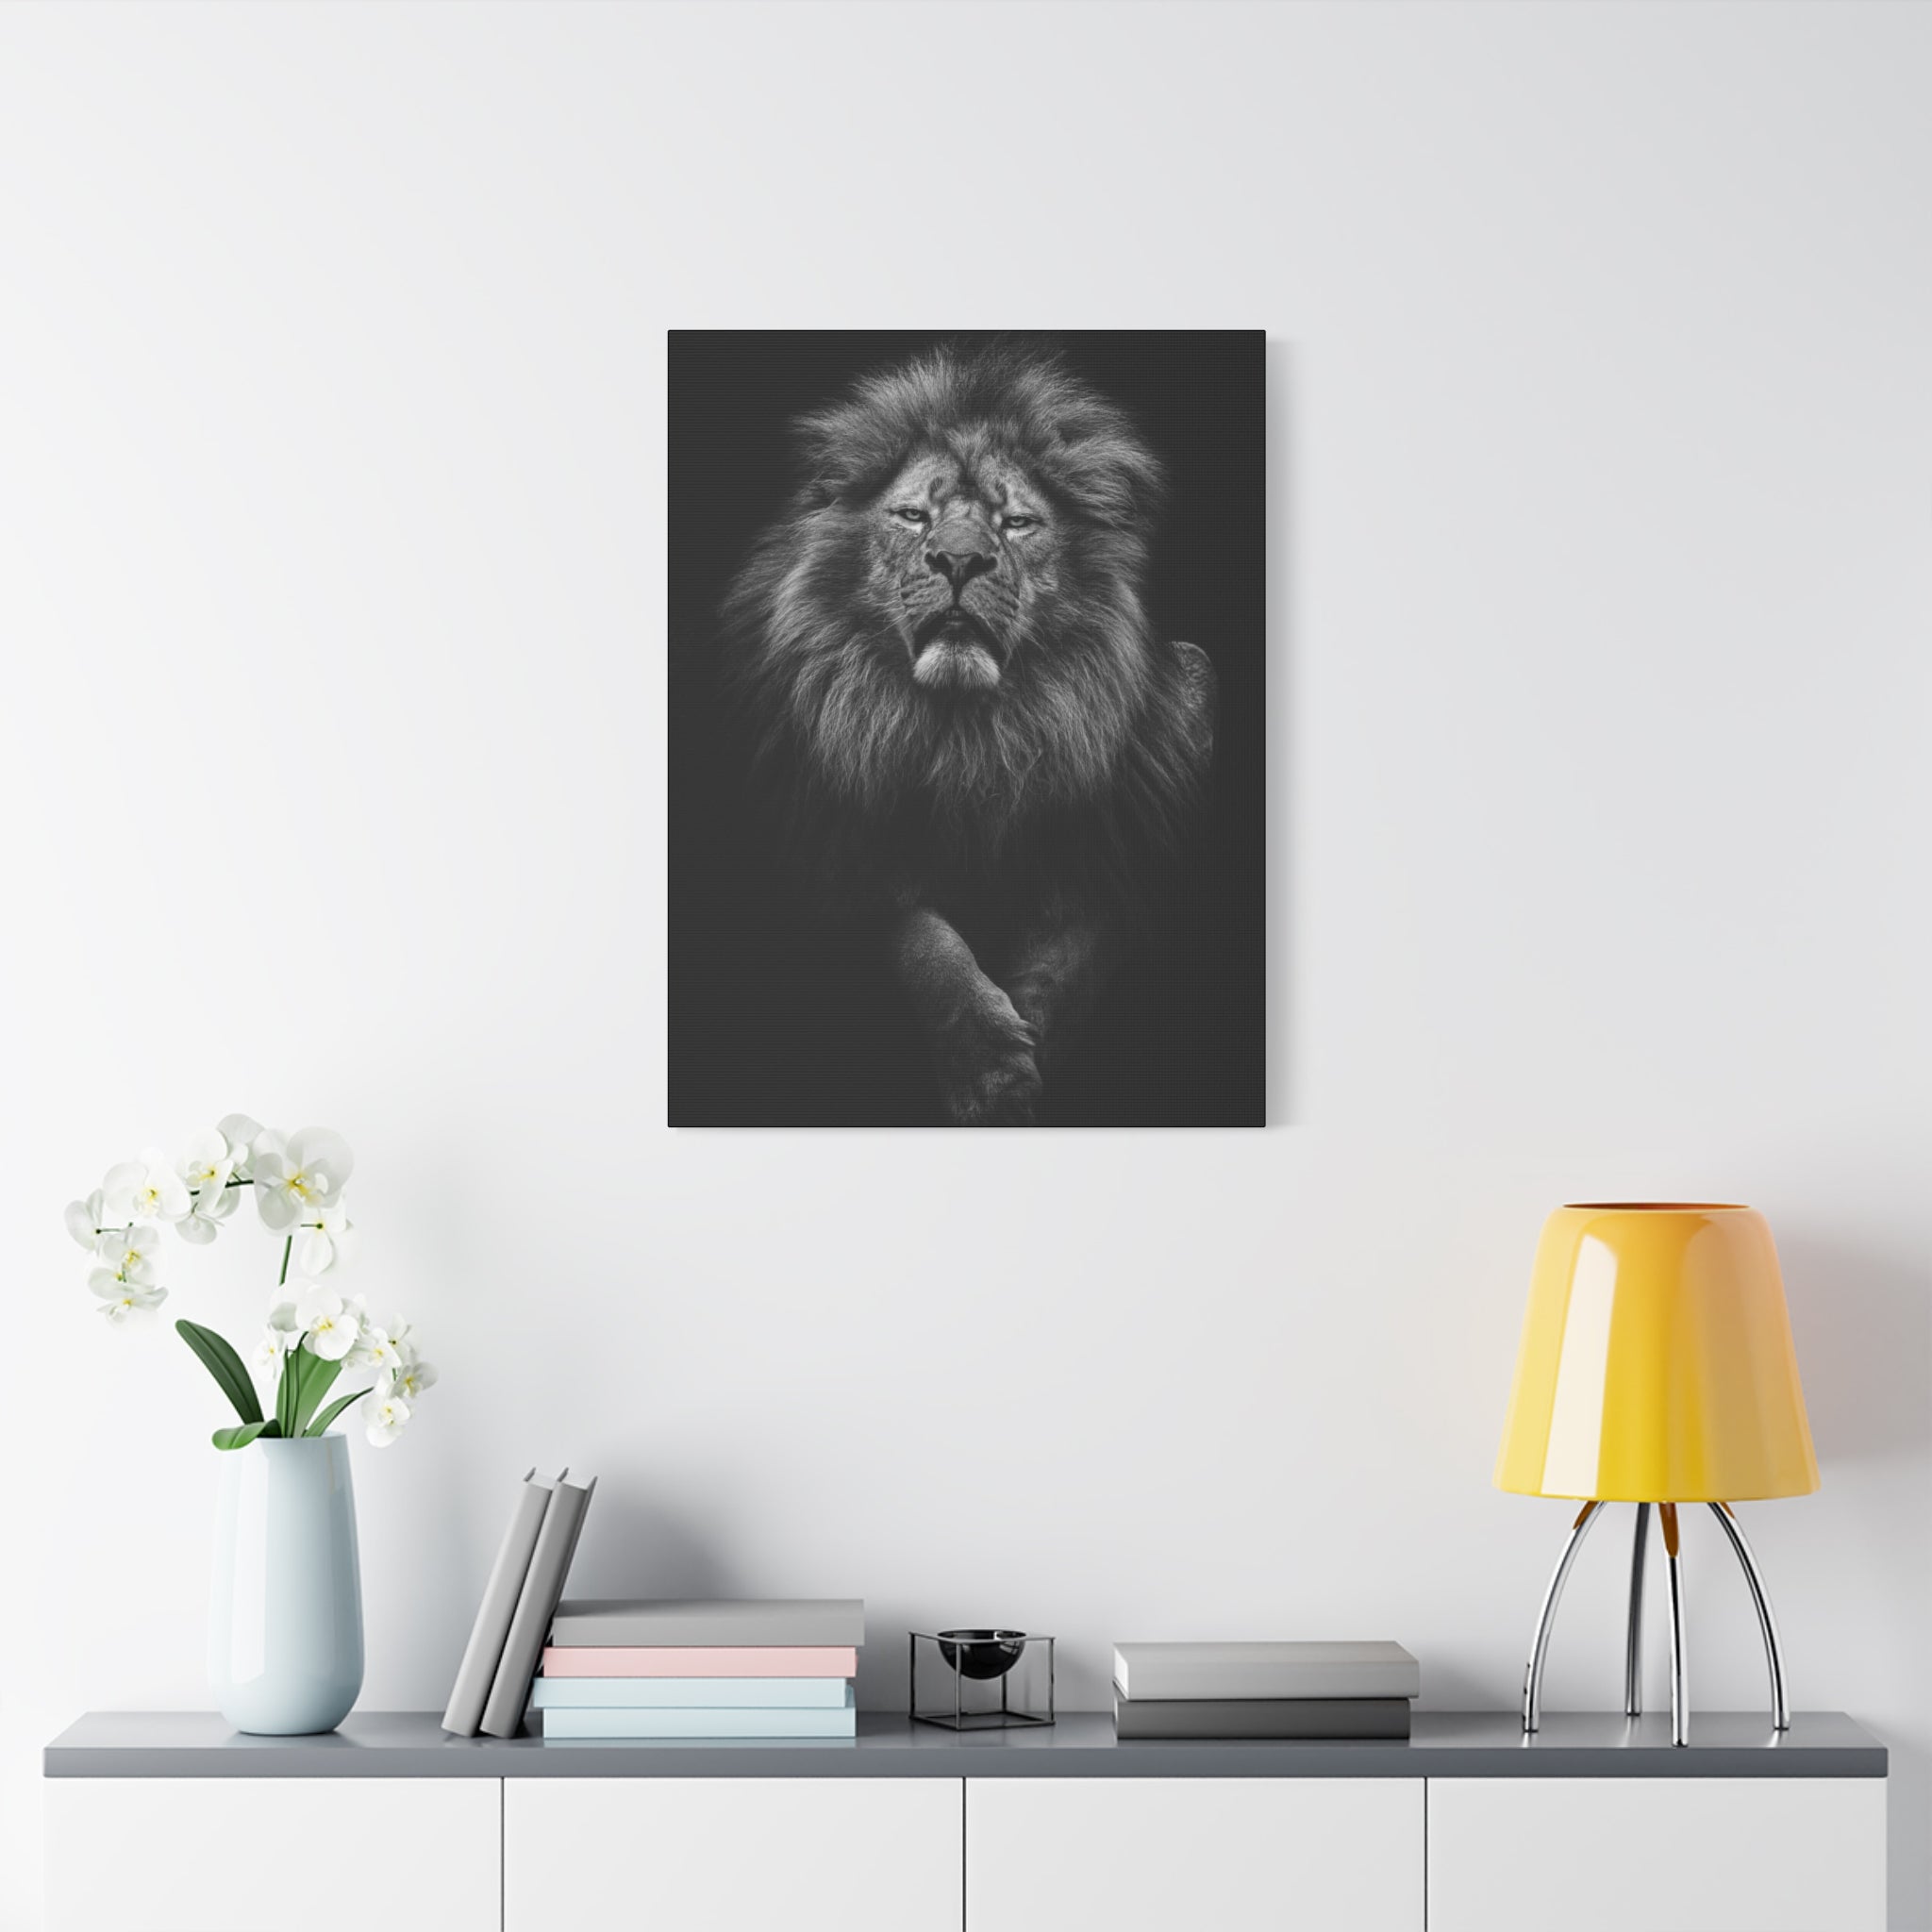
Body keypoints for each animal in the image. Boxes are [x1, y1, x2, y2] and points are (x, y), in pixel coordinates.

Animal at [720, 342, 1215, 1125]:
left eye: (1016, 524)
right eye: (912, 515)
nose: (958, 561)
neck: (970, 733)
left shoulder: (1121, 846)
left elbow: (1072, 953)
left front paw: (1030, 1049)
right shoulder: (835, 846)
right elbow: (923, 941)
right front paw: (988, 1067)